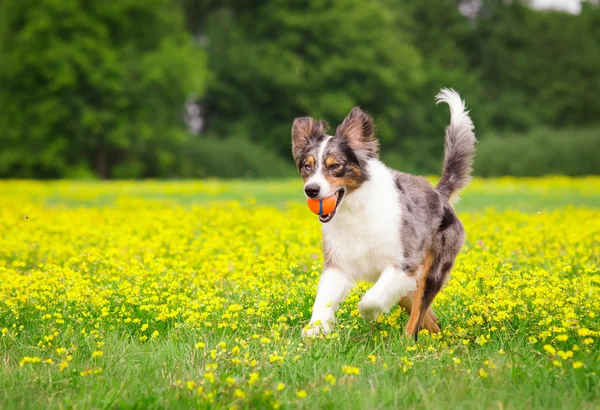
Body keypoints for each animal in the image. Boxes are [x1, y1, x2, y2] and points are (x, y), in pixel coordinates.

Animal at [292, 89, 476, 340]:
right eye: (307, 167)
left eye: (335, 166)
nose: (311, 190)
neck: (354, 209)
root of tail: (439, 194)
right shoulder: (339, 262)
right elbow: (323, 299)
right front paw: (316, 329)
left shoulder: (404, 265)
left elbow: (370, 300)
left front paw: (369, 314)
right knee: (427, 317)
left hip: (431, 269)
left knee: (419, 309)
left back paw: (407, 341)